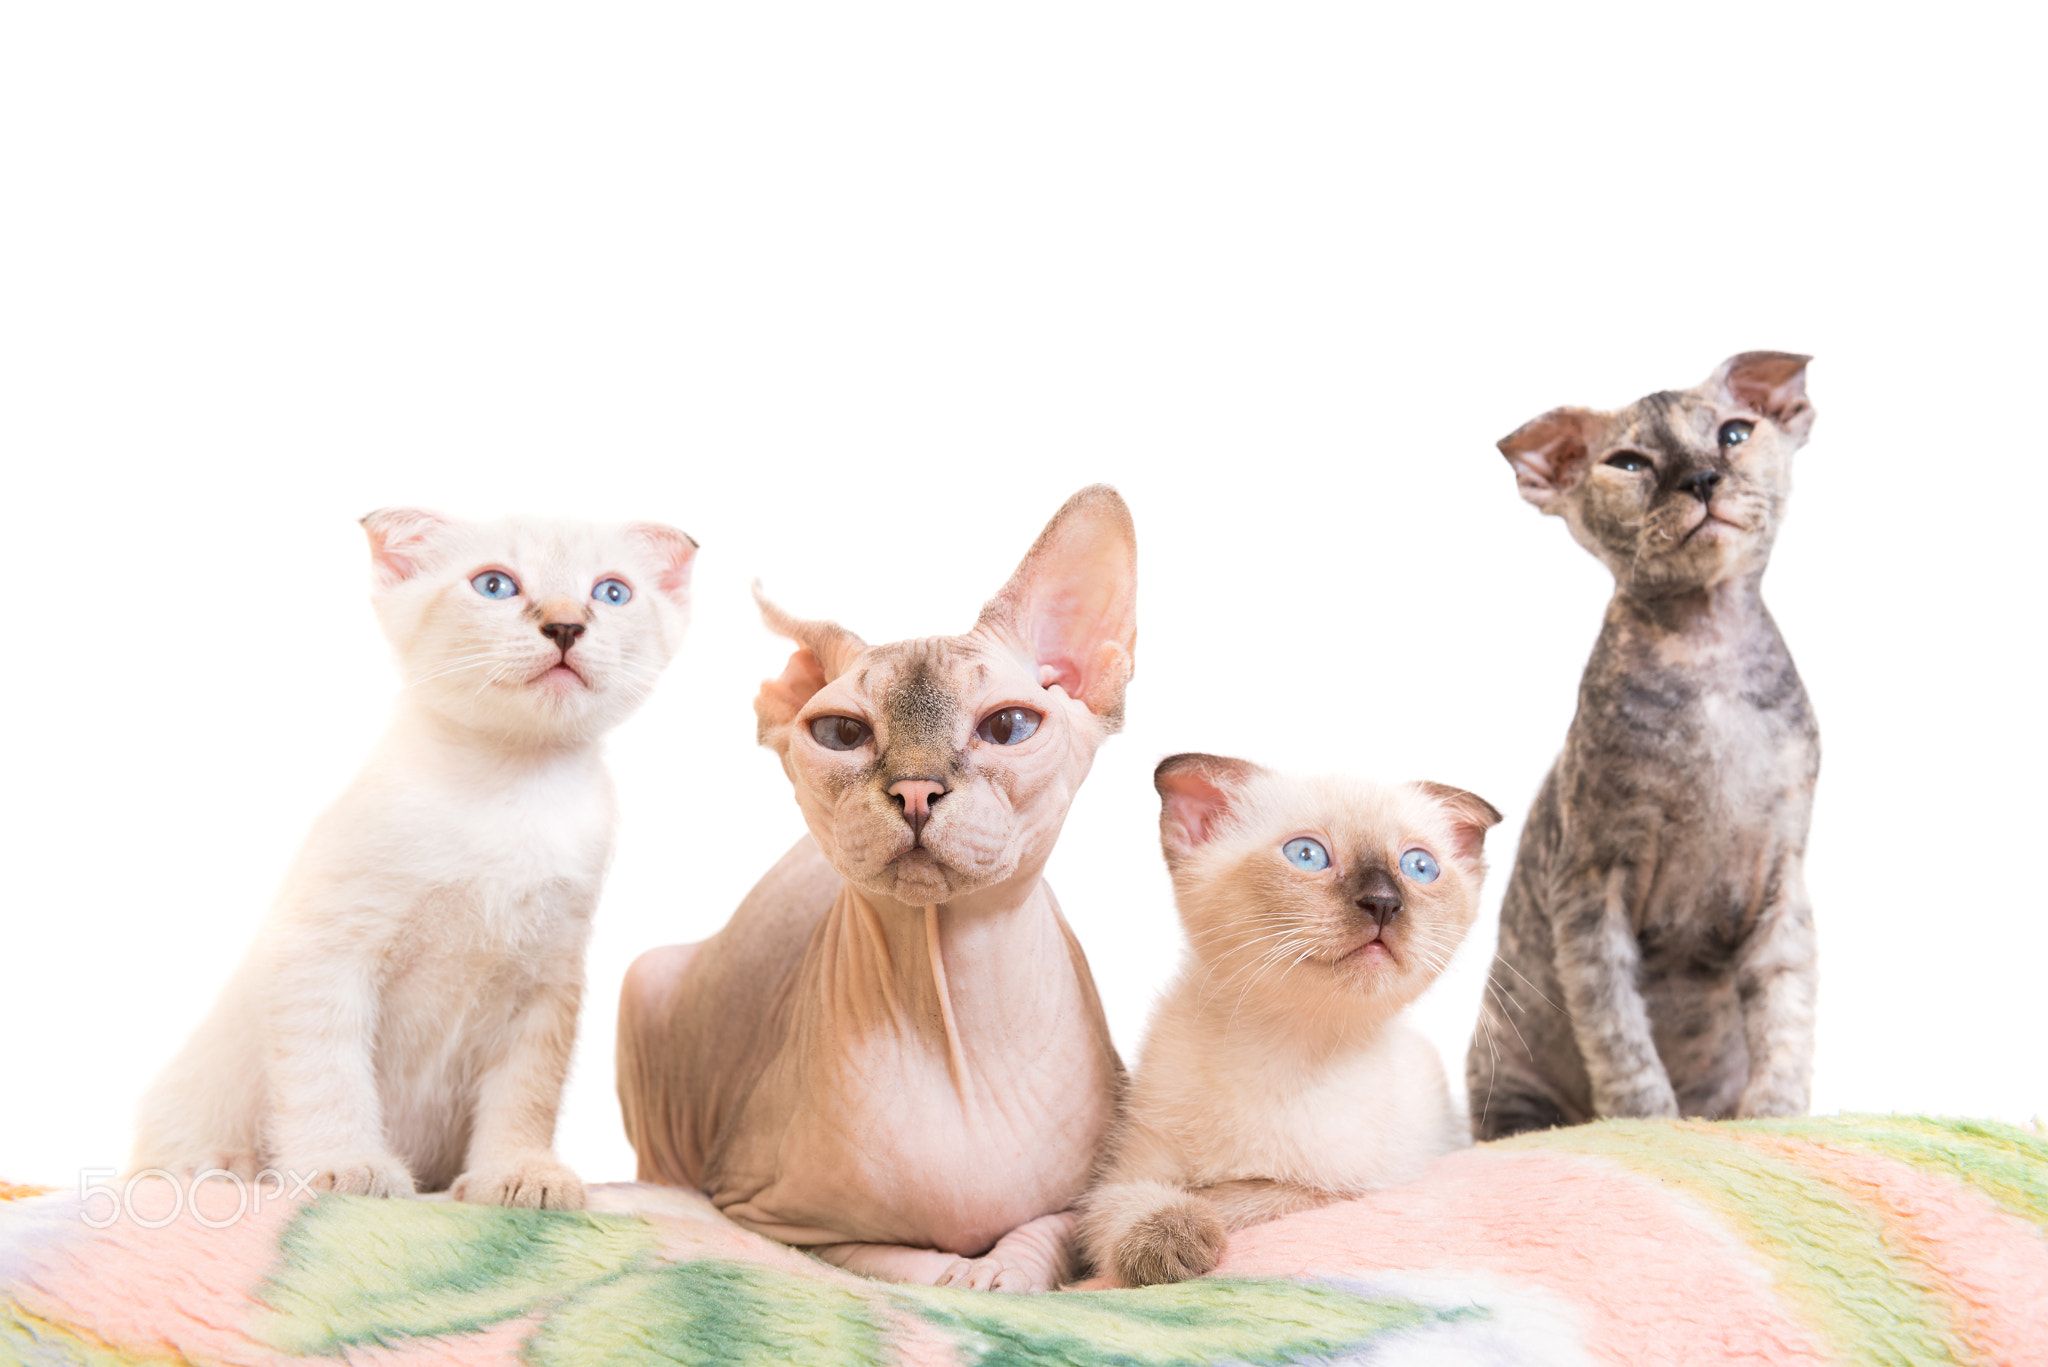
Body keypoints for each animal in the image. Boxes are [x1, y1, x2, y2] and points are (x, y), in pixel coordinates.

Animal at [136, 510, 700, 1205]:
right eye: (494, 585)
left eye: (612, 592)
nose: (567, 625)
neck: (511, 788)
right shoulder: (323, 954)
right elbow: (328, 1073)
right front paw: (346, 1165)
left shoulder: (547, 982)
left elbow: (525, 1096)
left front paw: (519, 1173)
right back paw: (221, 1166)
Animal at [614, 489, 1146, 1295]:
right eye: (840, 733)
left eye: (1009, 725)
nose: (916, 790)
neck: (950, 1031)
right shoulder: (766, 1218)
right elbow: (897, 1264)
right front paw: (962, 1274)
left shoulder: (1093, 1199)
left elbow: (1046, 1236)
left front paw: (1002, 1269)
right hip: (645, 985)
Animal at [1073, 758, 1507, 1287]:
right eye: (1306, 855)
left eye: (1419, 867)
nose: (1383, 902)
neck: (1286, 1046)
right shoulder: (1129, 1172)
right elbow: (1126, 1203)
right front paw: (1171, 1244)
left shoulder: (1348, 1189)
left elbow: (1242, 1195)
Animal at [1474, 348, 1826, 1139]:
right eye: (1629, 463)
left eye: (1734, 433)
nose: (1700, 479)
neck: (1707, 647)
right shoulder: (1589, 892)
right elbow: (1620, 1034)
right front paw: (1647, 1126)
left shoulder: (1782, 885)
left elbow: (1786, 1014)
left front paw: (1775, 1121)